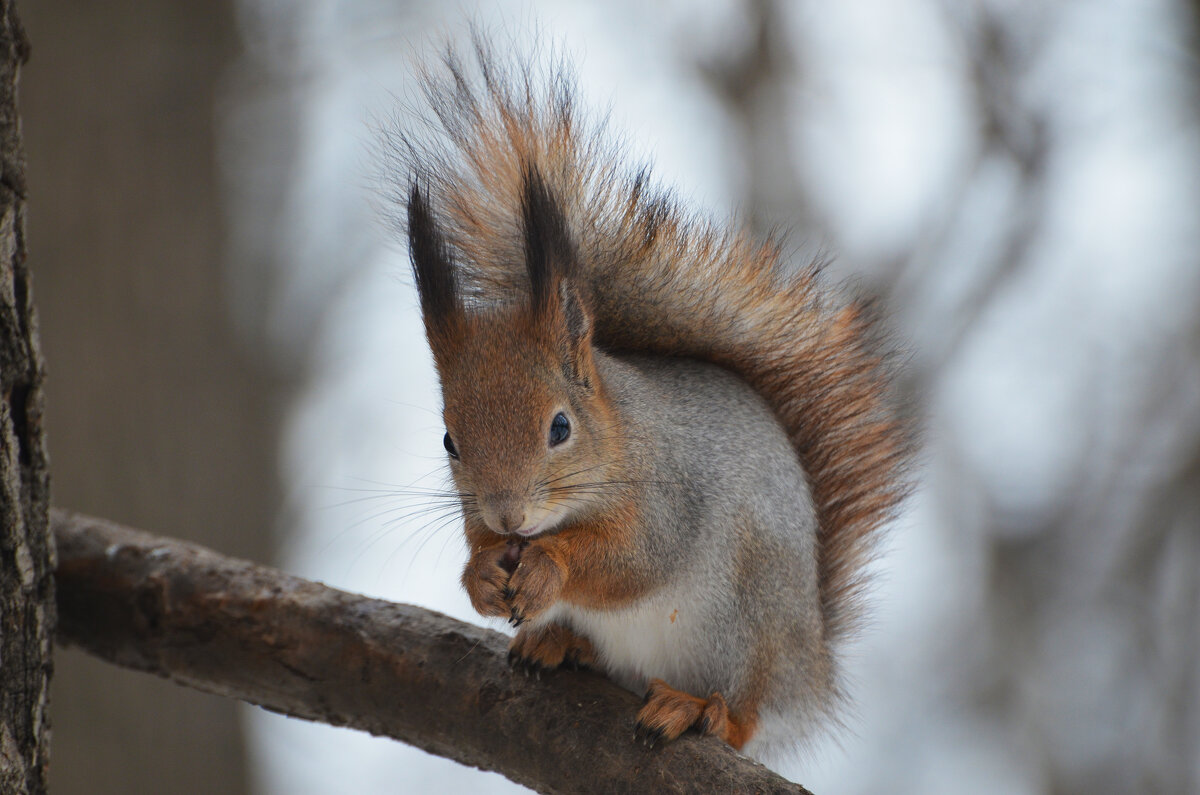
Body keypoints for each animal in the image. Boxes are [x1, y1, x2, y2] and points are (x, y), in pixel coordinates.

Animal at [393, 39, 907, 768]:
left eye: (560, 426)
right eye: (449, 441)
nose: (509, 514)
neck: (620, 433)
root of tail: (810, 678)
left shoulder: (674, 496)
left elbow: (636, 561)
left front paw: (550, 566)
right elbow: (480, 547)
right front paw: (483, 575)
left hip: (749, 624)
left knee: (745, 713)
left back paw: (695, 708)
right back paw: (560, 642)